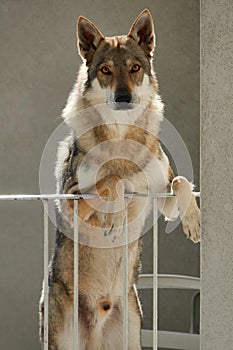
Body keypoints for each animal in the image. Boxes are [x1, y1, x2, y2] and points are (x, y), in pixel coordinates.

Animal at [39, 8, 199, 350]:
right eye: (106, 71)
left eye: (135, 69)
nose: (124, 97)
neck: (121, 133)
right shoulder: (70, 199)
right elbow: (114, 179)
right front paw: (115, 213)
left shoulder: (163, 199)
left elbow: (179, 181)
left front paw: (193, 221)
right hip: (63, 339)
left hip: (131, 335)